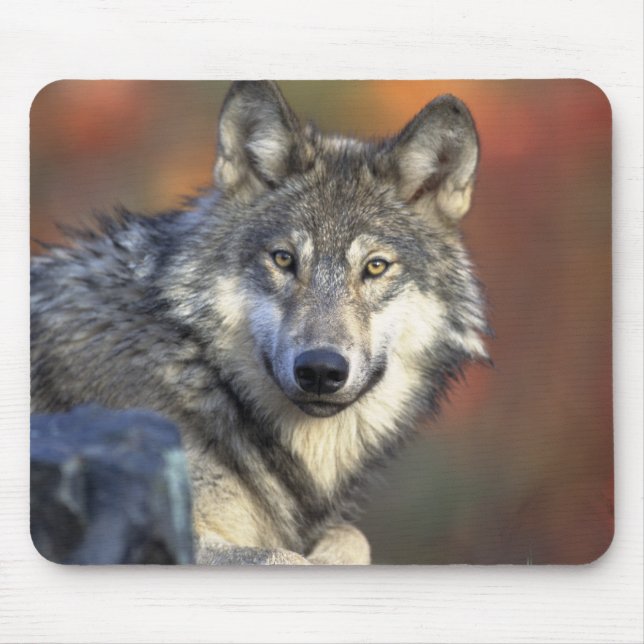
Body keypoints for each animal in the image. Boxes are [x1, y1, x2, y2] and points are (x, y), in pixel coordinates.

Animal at [31, 81, 489, 565]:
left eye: (376, 267)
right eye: (284, 259)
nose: (320, 370)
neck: (200, 370)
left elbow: (352, 537)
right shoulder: (164, 527)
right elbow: (283, 556)